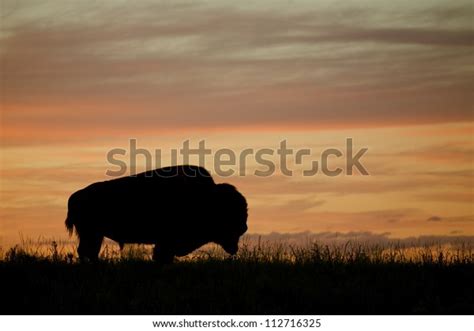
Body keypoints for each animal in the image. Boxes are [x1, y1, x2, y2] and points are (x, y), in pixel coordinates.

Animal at [65, 166, 248, 264]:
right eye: (231, 213)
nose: (244, 227)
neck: (208, 198)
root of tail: (75, 196)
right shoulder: (167, 241)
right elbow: (162, 256)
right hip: (91, 233)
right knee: (86, 251)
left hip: (94, 234)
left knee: (88, 251)